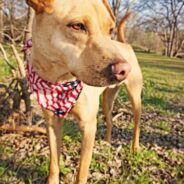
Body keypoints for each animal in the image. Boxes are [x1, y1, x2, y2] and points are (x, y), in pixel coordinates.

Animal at [24, 0, 142, 183]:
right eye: (77, 26)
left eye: (110, 30)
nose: (124, 70)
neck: (60, 81)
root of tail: (125, 44)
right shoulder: (52, 122)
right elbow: (54, 162)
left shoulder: (88, 126)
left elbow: (82, 172)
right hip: (107, 101)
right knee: (110, 121)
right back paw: (106, 142)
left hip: (135, 98)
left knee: (136, 124)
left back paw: (135, 148)